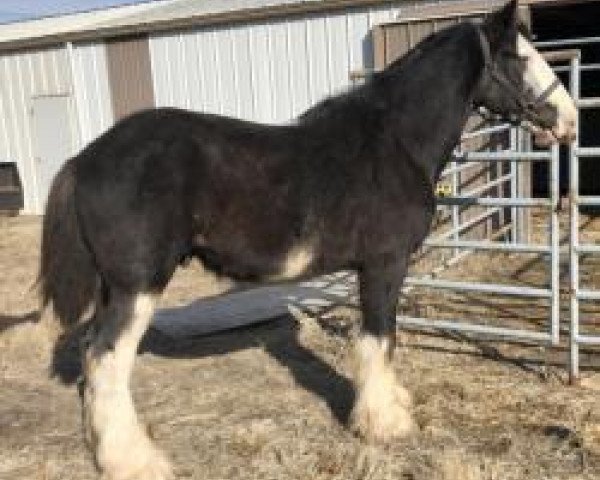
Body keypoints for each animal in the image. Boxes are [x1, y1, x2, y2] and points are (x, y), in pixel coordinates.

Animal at [37, 1, 576, 478]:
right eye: (518, 57)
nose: (570, 121)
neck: (394, 142)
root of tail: (84, 160)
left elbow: (384, 340)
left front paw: (393, 405)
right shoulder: (384, 264)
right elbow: (378, 338)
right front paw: (385, 424)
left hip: (113, 289)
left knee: (91, 355)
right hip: (139, 285)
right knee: (108, 360)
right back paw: (135, 462)